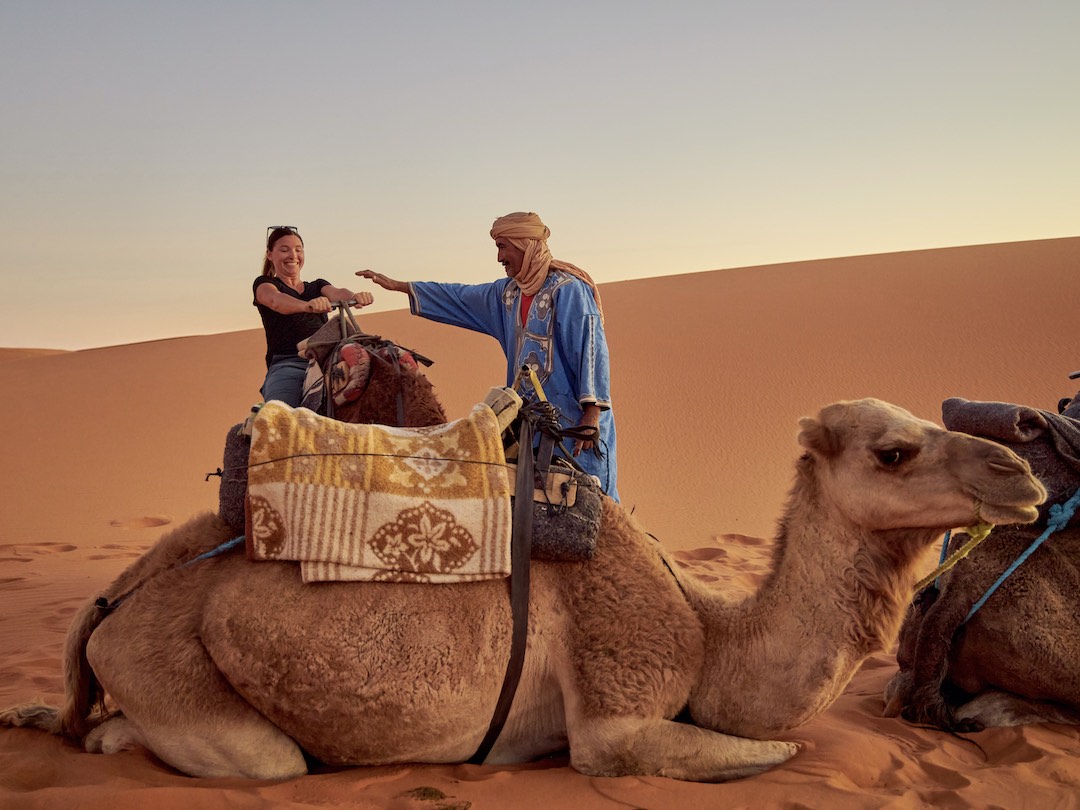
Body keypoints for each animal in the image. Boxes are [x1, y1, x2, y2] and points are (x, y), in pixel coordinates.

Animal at [1, 393, 1045, 783]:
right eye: (895, 450)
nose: (1021, 473)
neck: (709, 632)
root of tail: (114, 599)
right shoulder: (616, 714)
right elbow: (764, 751)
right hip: (170, 667)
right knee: (247, 759)